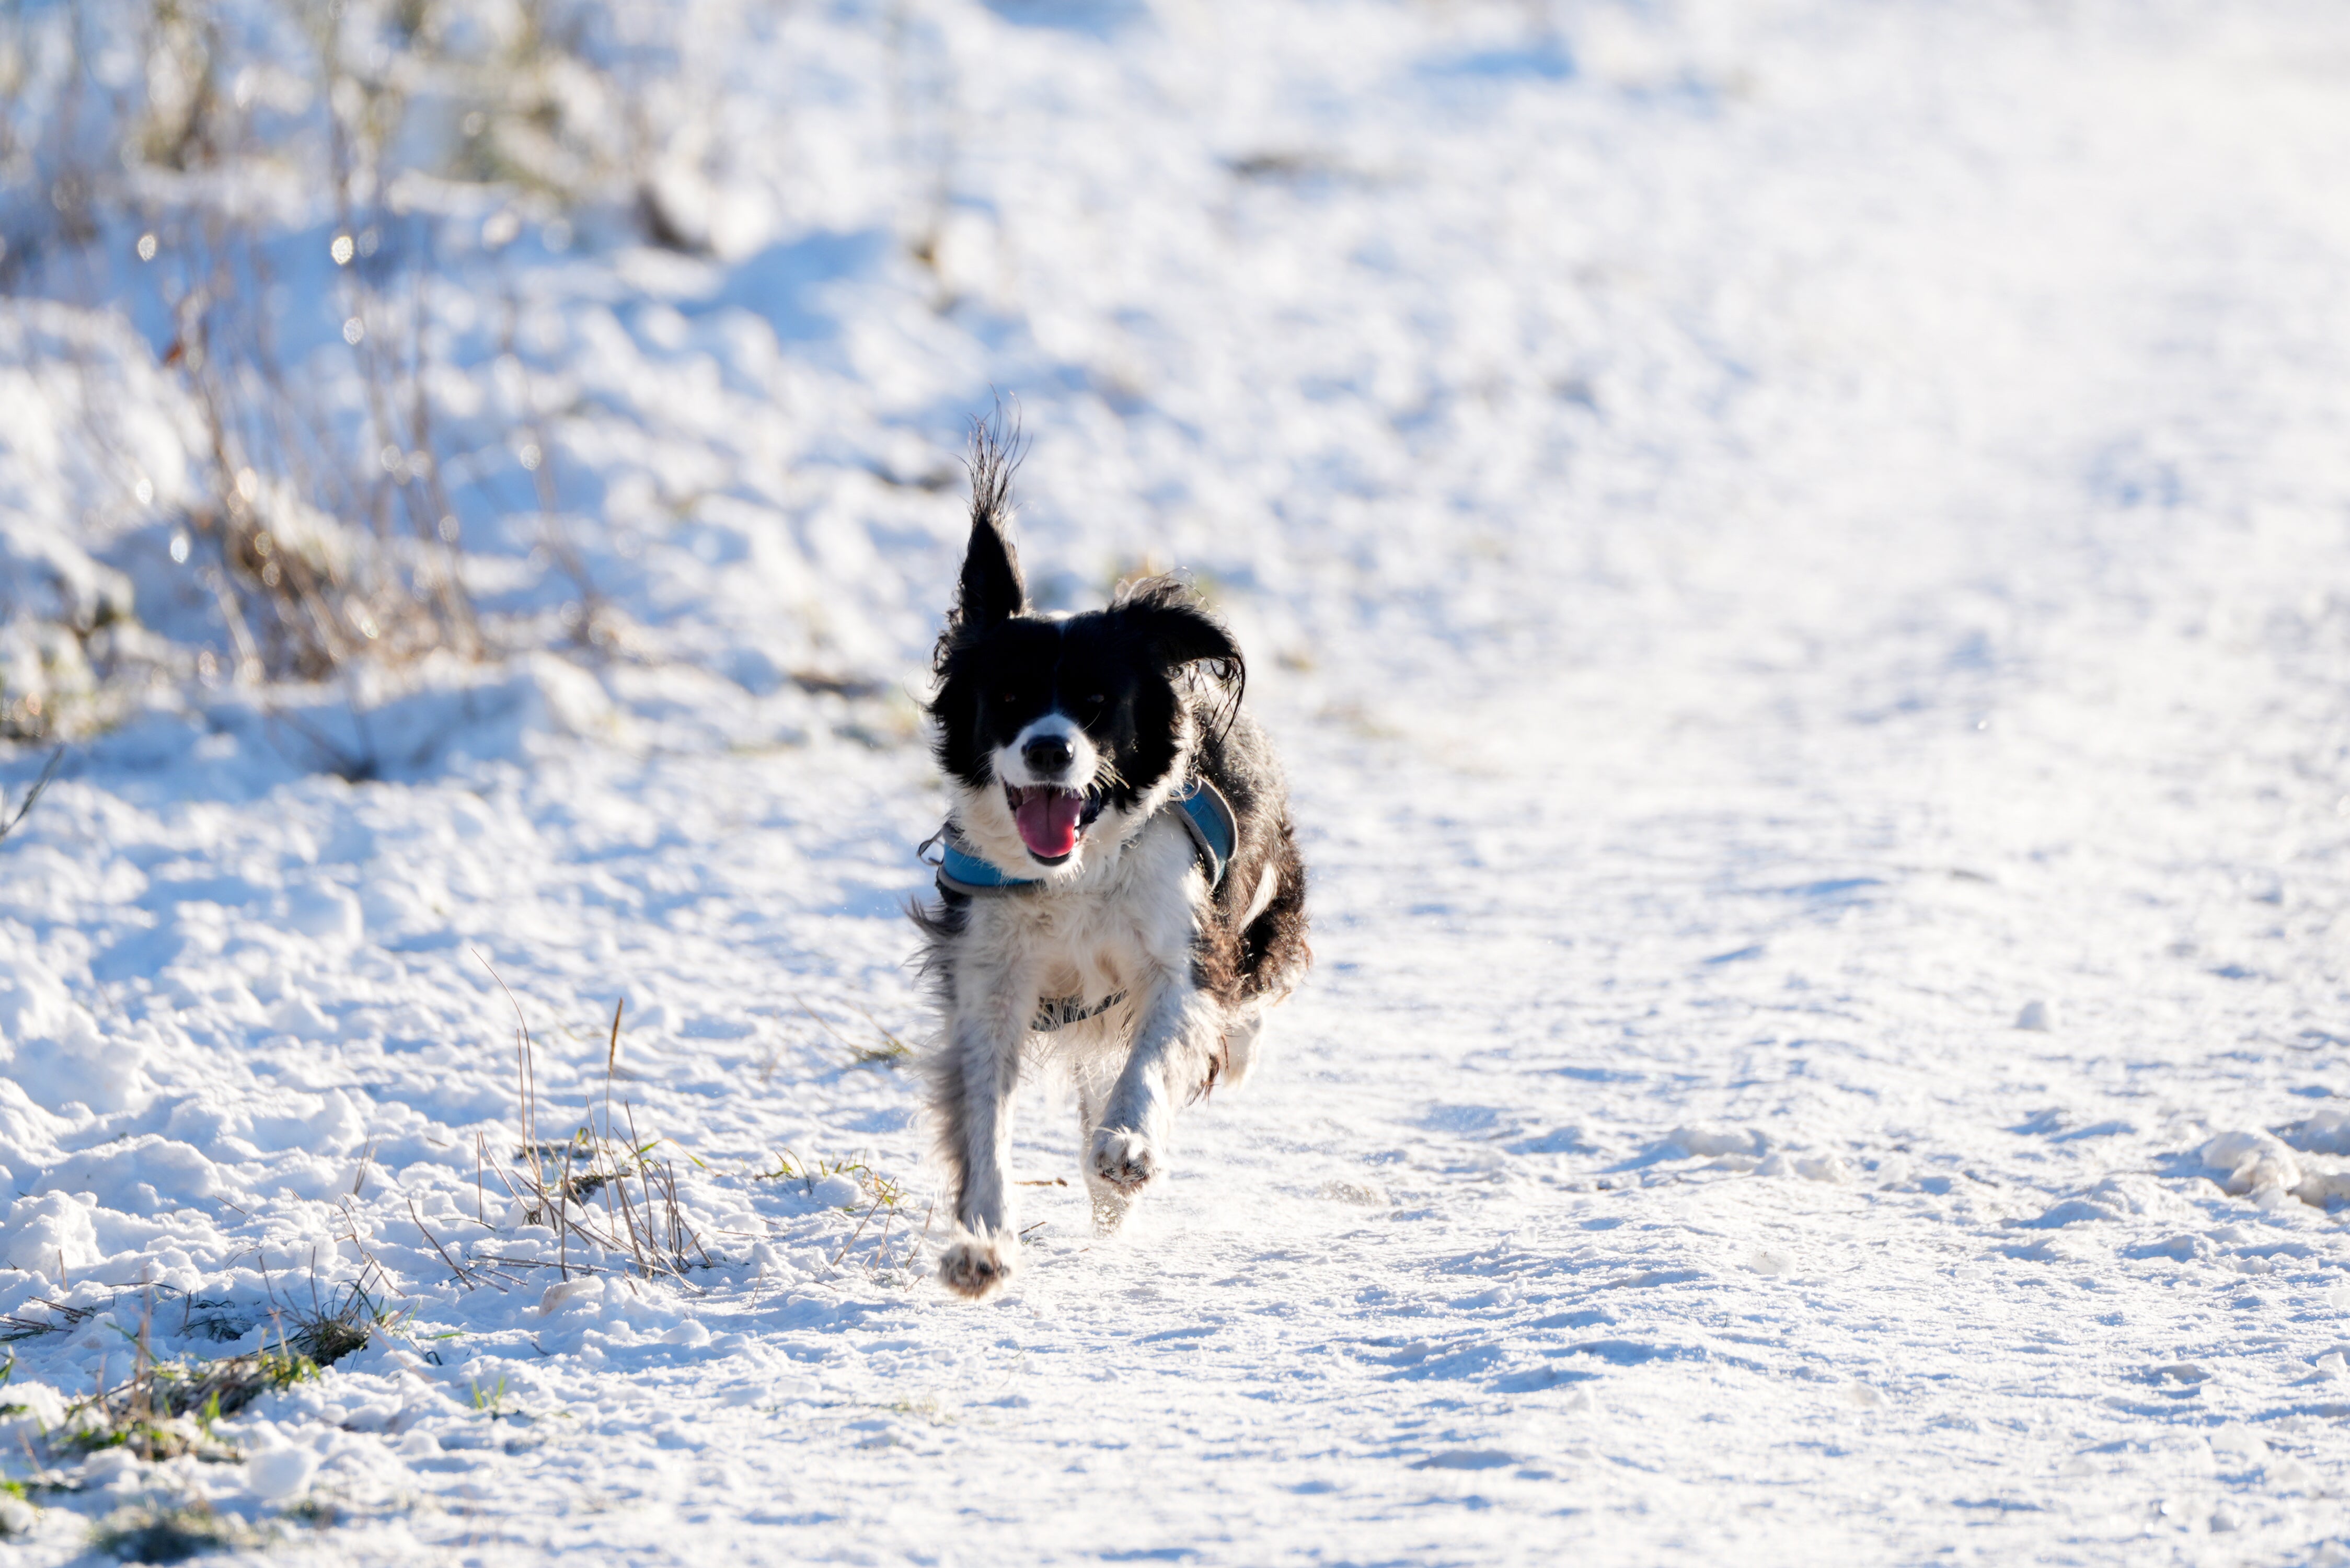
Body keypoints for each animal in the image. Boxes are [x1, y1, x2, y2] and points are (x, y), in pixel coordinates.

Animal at [912, 430, 1316, 1297]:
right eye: (1008, 698)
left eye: (1097, 704)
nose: (1049, 749)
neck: (1074, 876)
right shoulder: (989, 974)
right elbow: (984, 1113)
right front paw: (981, 1243)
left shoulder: (1185, 950)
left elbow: (1156, 1052)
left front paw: (1127, 1146)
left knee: (1241, 1011)